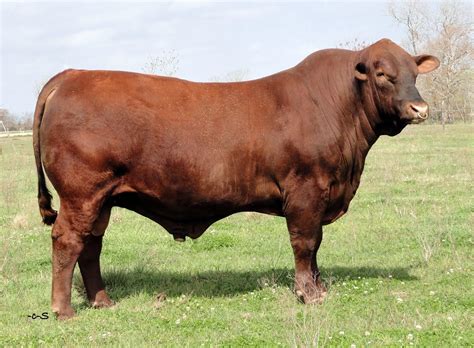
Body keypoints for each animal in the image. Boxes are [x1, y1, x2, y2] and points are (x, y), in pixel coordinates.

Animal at [33, 38, 438, 318]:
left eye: (415, 74)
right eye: (382, 74)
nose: (420, 108)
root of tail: (73, 74)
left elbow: (317, 245)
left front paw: (320, 287)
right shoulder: (305, 191)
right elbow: (305, 243)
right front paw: (308, 293)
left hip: (102, 199)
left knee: (91, 245)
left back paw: (103, 301)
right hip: (81, 193)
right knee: (68, 241)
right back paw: (63, 310)